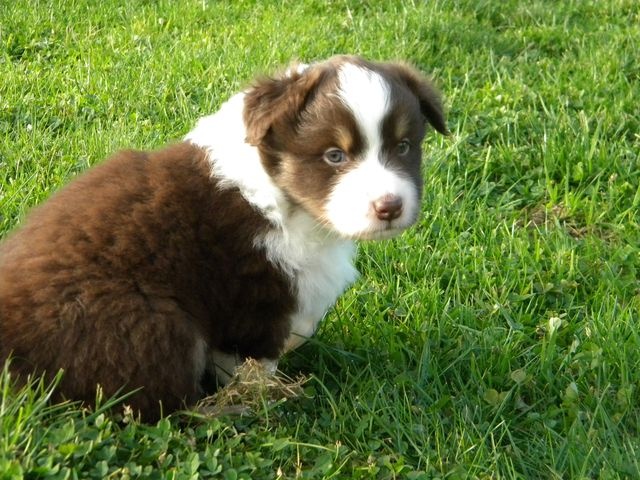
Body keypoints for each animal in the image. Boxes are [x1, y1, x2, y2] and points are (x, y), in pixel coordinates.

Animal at [0, 55, 447, 420]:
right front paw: (269, 400)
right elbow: (254, 362)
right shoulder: (254, 295)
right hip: (152, 323)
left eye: (403, 147)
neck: (282, 201)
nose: (389, 206)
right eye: (334, 156)